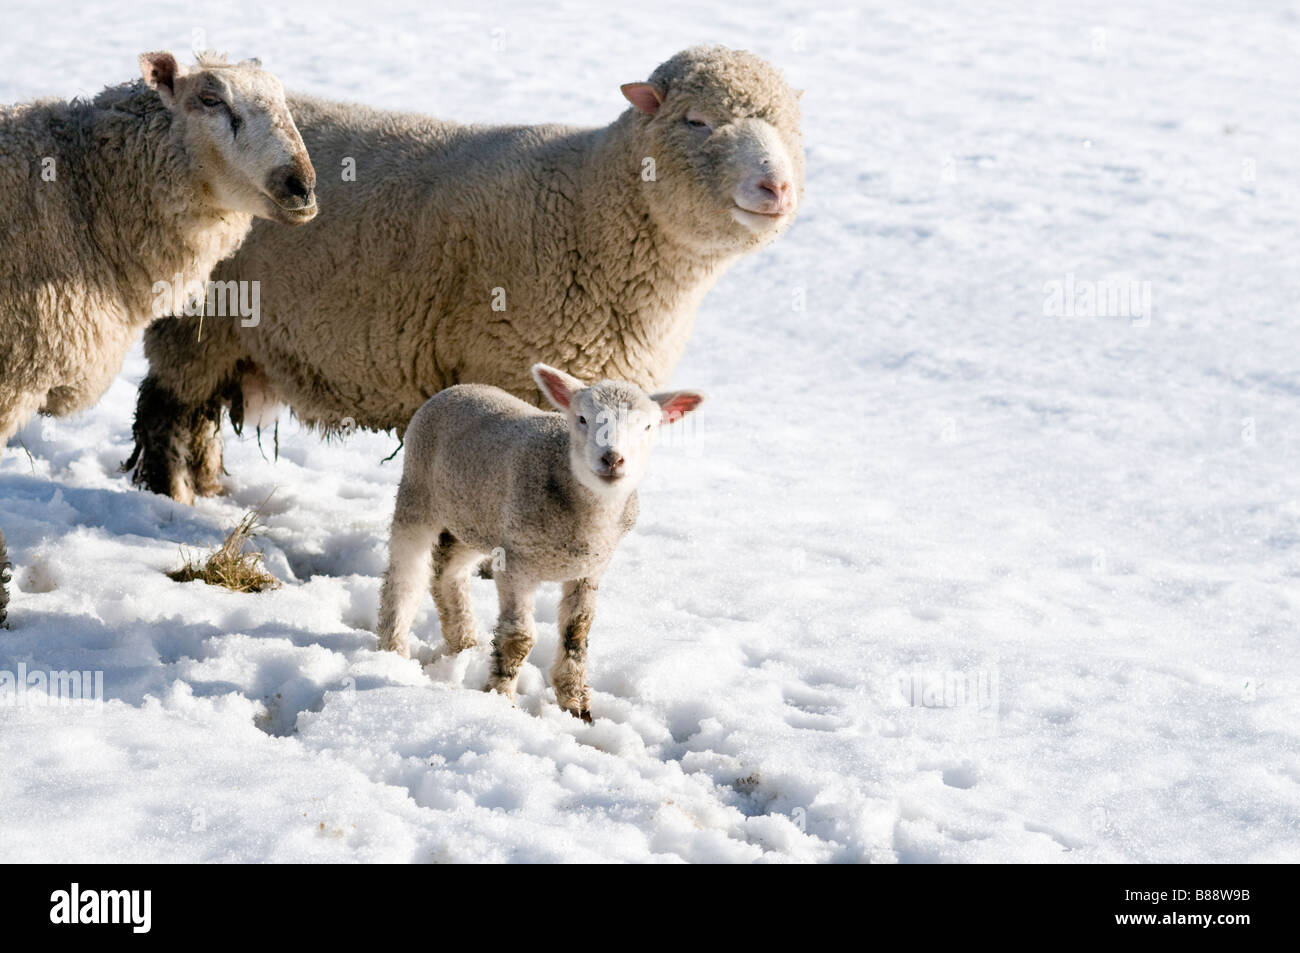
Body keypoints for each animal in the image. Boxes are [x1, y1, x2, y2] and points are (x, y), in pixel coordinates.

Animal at [129, 44, 800, 504]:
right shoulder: (512, 374)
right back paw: (172, 496)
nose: (777, 187)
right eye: (697, 121)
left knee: (200, 415)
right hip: (196, 321)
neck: (592, 206)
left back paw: (210, 489)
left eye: (791, 129)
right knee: (167, 409)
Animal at [377, 364, 702, 722]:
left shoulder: (589, 569)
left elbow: (577, 633)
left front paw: (575, 703)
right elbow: (519, 638)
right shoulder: (516, 563)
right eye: (582, 418)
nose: (612, 459)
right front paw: (500, 699)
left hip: (476, 518)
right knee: (405, 577)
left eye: (647, 426)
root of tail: (460, 387)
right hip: (418, 494)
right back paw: (393, 652)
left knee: (448, 572)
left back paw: (464, 643)